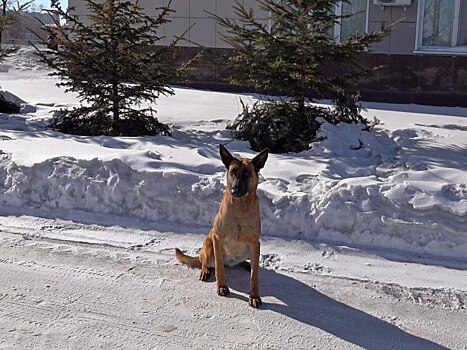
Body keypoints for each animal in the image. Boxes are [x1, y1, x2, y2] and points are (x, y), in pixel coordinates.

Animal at [176, 144, 270, 308]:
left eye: (247, 174)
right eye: (232, 172)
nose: (235, 190)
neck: (240, 209)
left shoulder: (255, 243)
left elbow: (254, 276)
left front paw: (254, 295)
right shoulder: (217, 239)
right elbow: (219, 268)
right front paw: (221, 286)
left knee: (247, 262)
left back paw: (247, 264)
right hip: (208, 247)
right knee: (204, 262)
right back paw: (205, 271)